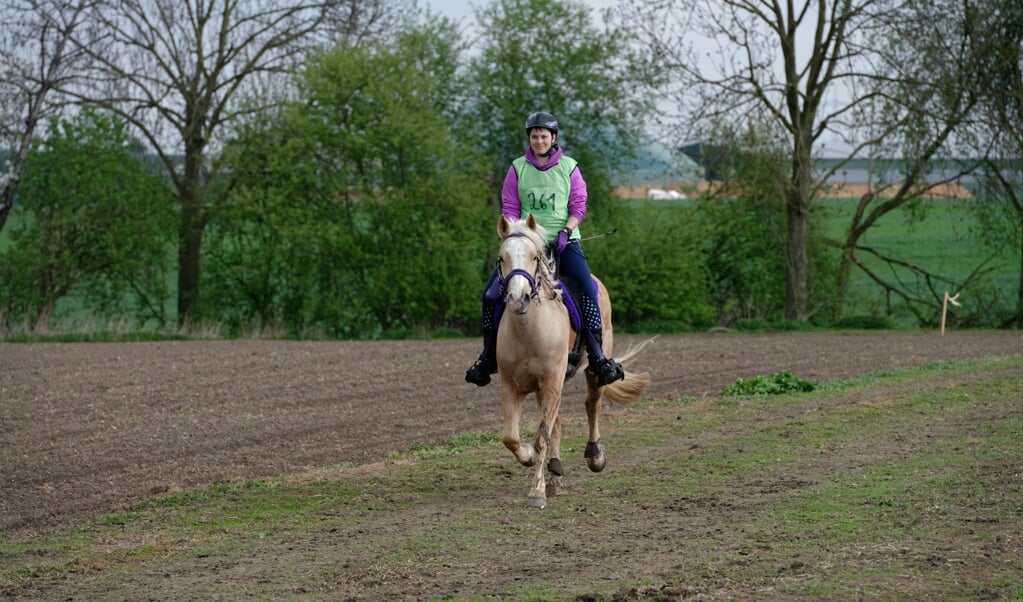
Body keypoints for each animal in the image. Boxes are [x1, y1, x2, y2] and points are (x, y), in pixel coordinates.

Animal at [491, 212, 650, 507]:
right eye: (501, 258)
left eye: (534, 257)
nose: (518, 299)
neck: (528, 331)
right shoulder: (513, 386)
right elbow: (512, 437)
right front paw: (529, 458)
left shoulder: (552, 382)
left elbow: (542, 436)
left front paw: (537, 492)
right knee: (558, 422)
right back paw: (555, 475)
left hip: (593, 370)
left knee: (592, 405)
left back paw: (595, 457)